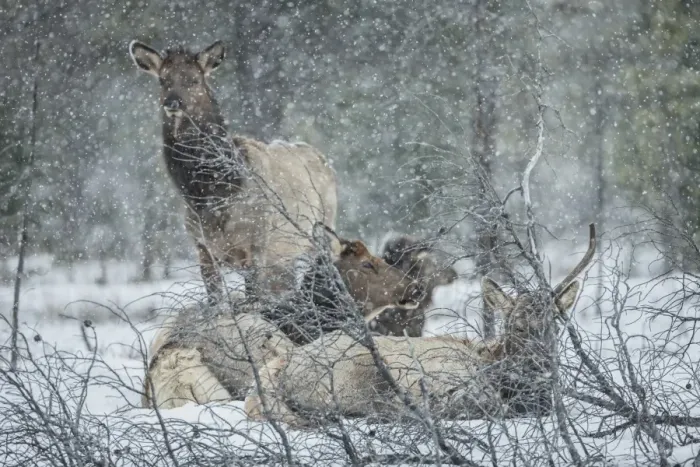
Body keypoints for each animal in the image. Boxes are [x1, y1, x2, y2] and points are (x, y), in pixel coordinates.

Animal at [129, 40, 337, 301]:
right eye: (163, 80)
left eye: (194, 80)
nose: (172, 103)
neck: (211, 194)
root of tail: (323, 158)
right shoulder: (202, 247)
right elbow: (216, 303)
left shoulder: (257, 242)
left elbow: (253, 300)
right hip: (284, 256)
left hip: (324, 230)